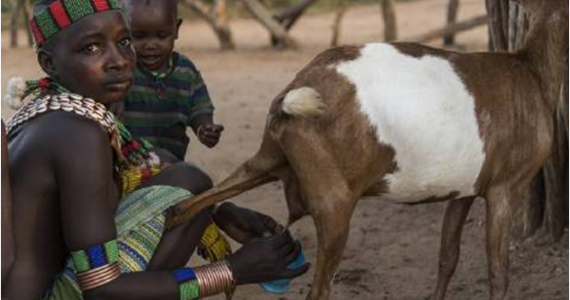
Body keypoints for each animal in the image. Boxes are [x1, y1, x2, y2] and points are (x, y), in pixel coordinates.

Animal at [166, 1, 564, 298]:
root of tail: (292, 94)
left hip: (267, 157)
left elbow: (447, 257)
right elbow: (498, 271)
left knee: (185, 208)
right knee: (319, 290)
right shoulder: (505, 186)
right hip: (334, 199)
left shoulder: (463, 188)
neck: (532, 72)